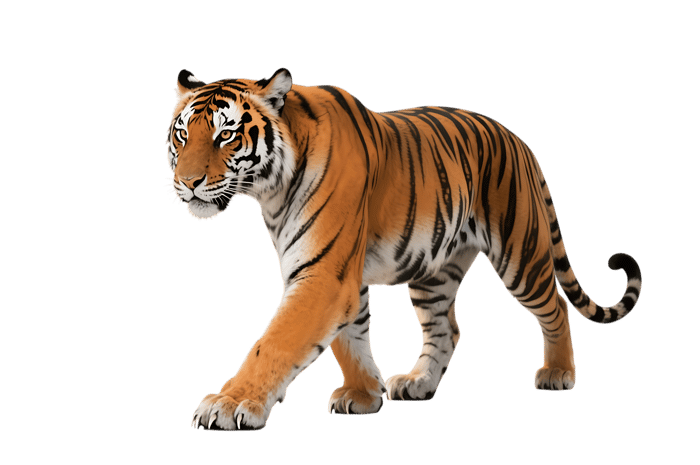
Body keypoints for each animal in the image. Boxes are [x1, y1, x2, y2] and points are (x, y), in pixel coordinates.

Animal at [166, 68, 642, 431]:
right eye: (182, 135)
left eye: (226, 135)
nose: (188, 182)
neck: (271, 191)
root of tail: (517, 139)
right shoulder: (340, 273)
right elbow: (350, 338)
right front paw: (363, 394)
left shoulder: (324, 275)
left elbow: (276, 342)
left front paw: (229, 404)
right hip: (433, 272)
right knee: (446, 330)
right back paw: (419, 382)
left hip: (519, 254)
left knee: (555, 308)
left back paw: (558, 373)